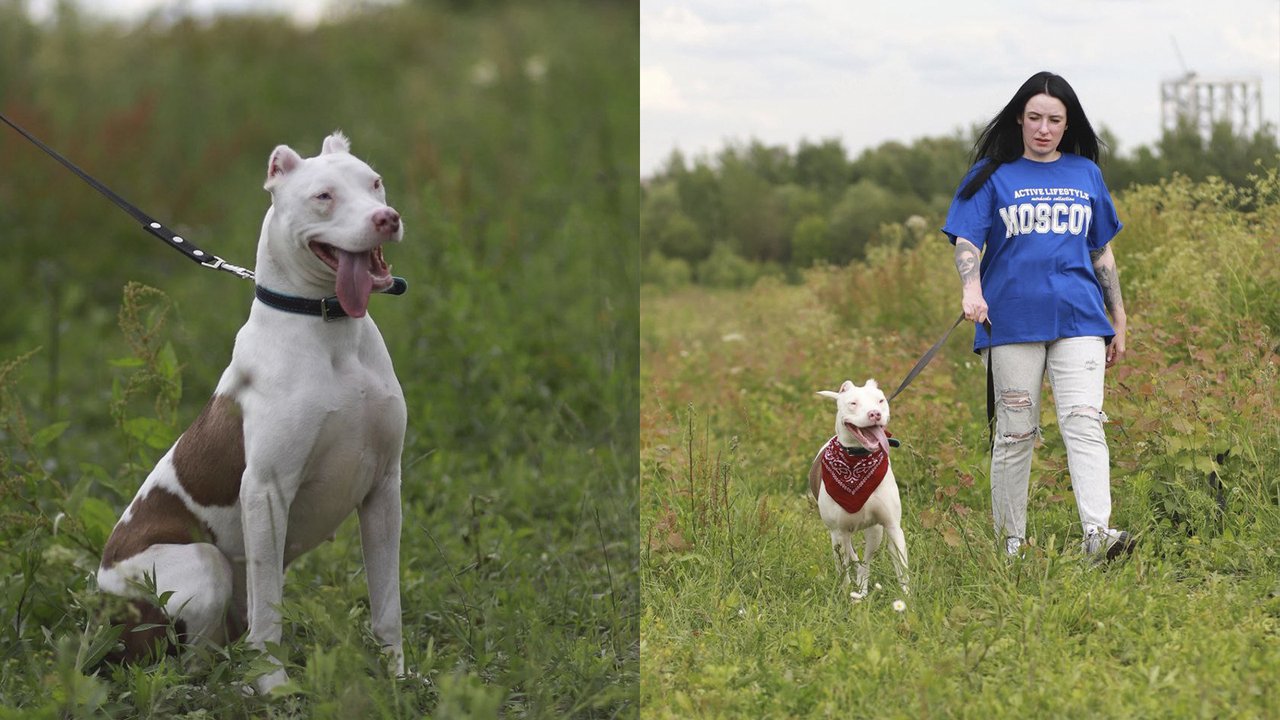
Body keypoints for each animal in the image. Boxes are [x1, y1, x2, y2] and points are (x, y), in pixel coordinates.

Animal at [97, 130, 407, 691]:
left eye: (375, 183)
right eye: (323, 196)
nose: (386, 218)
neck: (331, 330)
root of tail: (96, 610)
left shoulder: (383, 485)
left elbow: (387, 603)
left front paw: (398, 678)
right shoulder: (265, 490)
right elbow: (269, 610)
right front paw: (273, 687)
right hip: (201, 565)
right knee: (193, 661)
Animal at [808, 379, 911, 597]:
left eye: (880, 400)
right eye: (853, 403)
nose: (875, 414)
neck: (857, 459)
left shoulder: (892, 526)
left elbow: (902, 569)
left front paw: (908, 598)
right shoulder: (838, 533)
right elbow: (843, 570)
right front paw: (845, 595)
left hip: (875, 532)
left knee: (866, 561)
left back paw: (862, 590)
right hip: (843, 534)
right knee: (852, 557)